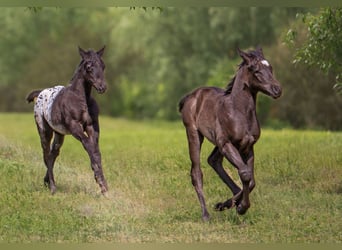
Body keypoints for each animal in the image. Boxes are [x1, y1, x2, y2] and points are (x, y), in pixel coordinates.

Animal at [25, 47, 107, 194]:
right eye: (89, 67)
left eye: (103, 66)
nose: (102, 87)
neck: (82, 100)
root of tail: (40, 93)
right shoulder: (74, 127)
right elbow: (88, 145)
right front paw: (100, 181)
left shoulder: (92, 127)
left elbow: (96, 151)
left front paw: (103, 185)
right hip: (44, 130)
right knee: (46, 154)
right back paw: (52, 187)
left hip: (59, 133)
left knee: (53, 153)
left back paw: (47, 181)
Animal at [179, 47, 280, 220]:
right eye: (255, 70)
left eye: (271, 68)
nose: (277, 90)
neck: (239, 112)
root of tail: (191, 96)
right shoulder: (227, 144)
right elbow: (245, 174)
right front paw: (241, 207)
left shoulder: (248, 147)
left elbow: (250, 179)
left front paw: (231, 205)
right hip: (194, 134)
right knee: (196, 172)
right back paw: (206, 215)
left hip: (218, 143)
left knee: (213, 160)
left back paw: (226, 204)